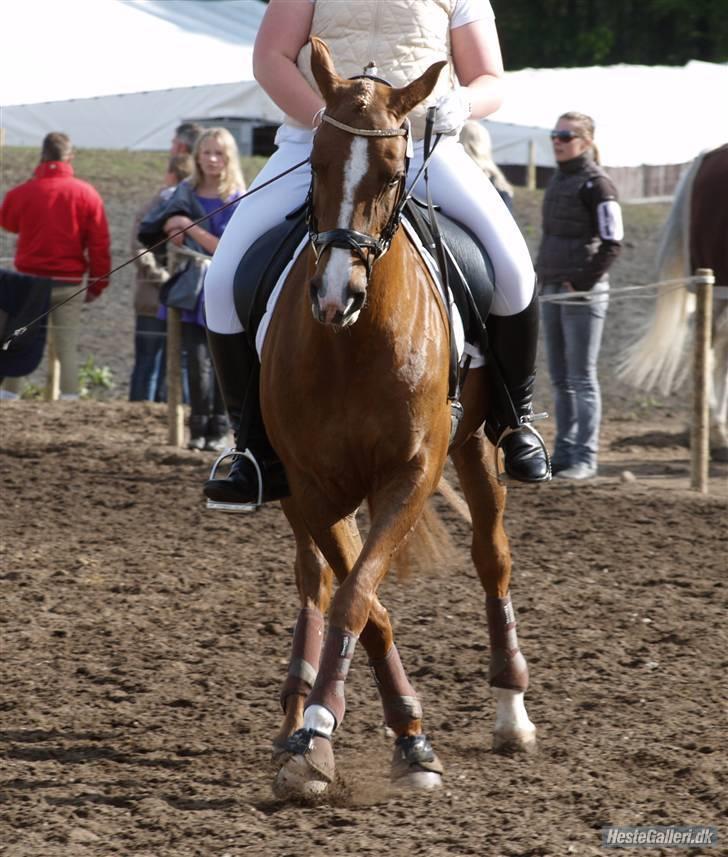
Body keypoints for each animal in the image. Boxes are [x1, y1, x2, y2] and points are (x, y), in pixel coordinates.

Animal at [260, 38, 536, 804]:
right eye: (317, 163)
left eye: (390, 172)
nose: (335, 297)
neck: (351, 344)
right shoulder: (313, 487)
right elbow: (363, 601)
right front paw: (328, 735)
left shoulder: (411, 473)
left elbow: (361, 596)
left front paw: (356, 738)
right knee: (313, 580)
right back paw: (293, 704)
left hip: (477, 444)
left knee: (492, 556)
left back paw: (511, 708)